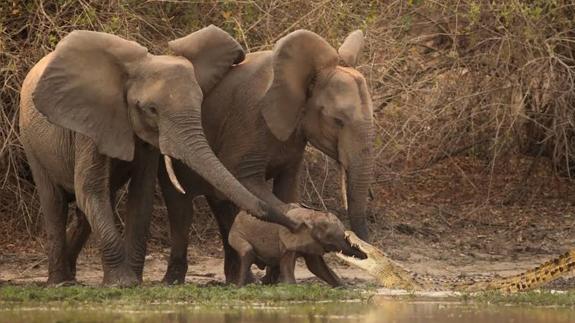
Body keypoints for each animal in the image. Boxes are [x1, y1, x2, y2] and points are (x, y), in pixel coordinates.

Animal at [18, 26, 300, 288]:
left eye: (200, 102)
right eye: (151, 109)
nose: (295, 222)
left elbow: (140, 195)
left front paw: (134, 280)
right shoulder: (90, 124)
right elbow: (90, 188)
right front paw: (124, 283)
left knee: (87, 209)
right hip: (30, 138)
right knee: (55, 201)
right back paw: (60, 282)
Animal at [228, 206, 366, 288]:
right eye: (329, 237)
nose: (365, 255)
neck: (311, 214)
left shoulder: (311, 241)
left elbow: (317, 266)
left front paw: (345, 288)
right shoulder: (287, 240)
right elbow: (288, 263)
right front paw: (292, 287)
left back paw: (265, 284)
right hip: (236, 233)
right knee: (247, 252)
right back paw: (241, 286)